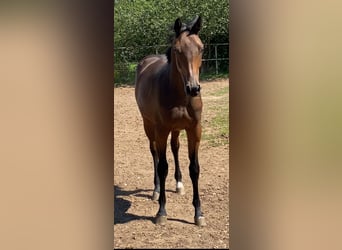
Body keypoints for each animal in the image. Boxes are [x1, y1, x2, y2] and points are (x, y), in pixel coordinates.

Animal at [134, 16, 204, 227]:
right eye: (177, 50)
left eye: (201, 48)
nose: (193, 88)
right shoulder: (162, 129)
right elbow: (163, 167)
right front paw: (161, 212)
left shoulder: (194, 129)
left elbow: (194, 168)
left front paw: (199, 214)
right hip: (149, 125)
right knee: (154, 152)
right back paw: (156, 190)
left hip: (176, 129)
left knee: (175, 148)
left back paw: (179, 184)